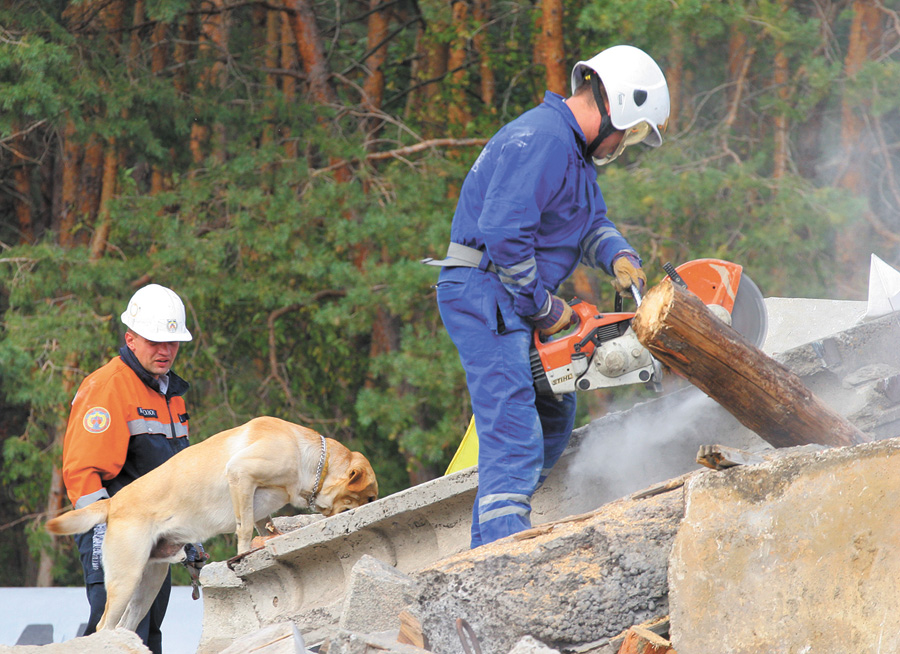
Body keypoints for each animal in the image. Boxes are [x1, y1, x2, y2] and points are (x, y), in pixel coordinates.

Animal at [44, 420, 376, 636]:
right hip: (126, 578)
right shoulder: (241, 474)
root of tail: (113, 503)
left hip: (148, 583)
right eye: (371, 497)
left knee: (126, 626)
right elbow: (244, 527)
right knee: (104, 627)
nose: (370, 505)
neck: (307, 457)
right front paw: (243, 554)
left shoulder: (259, 501)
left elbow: (264, 525)